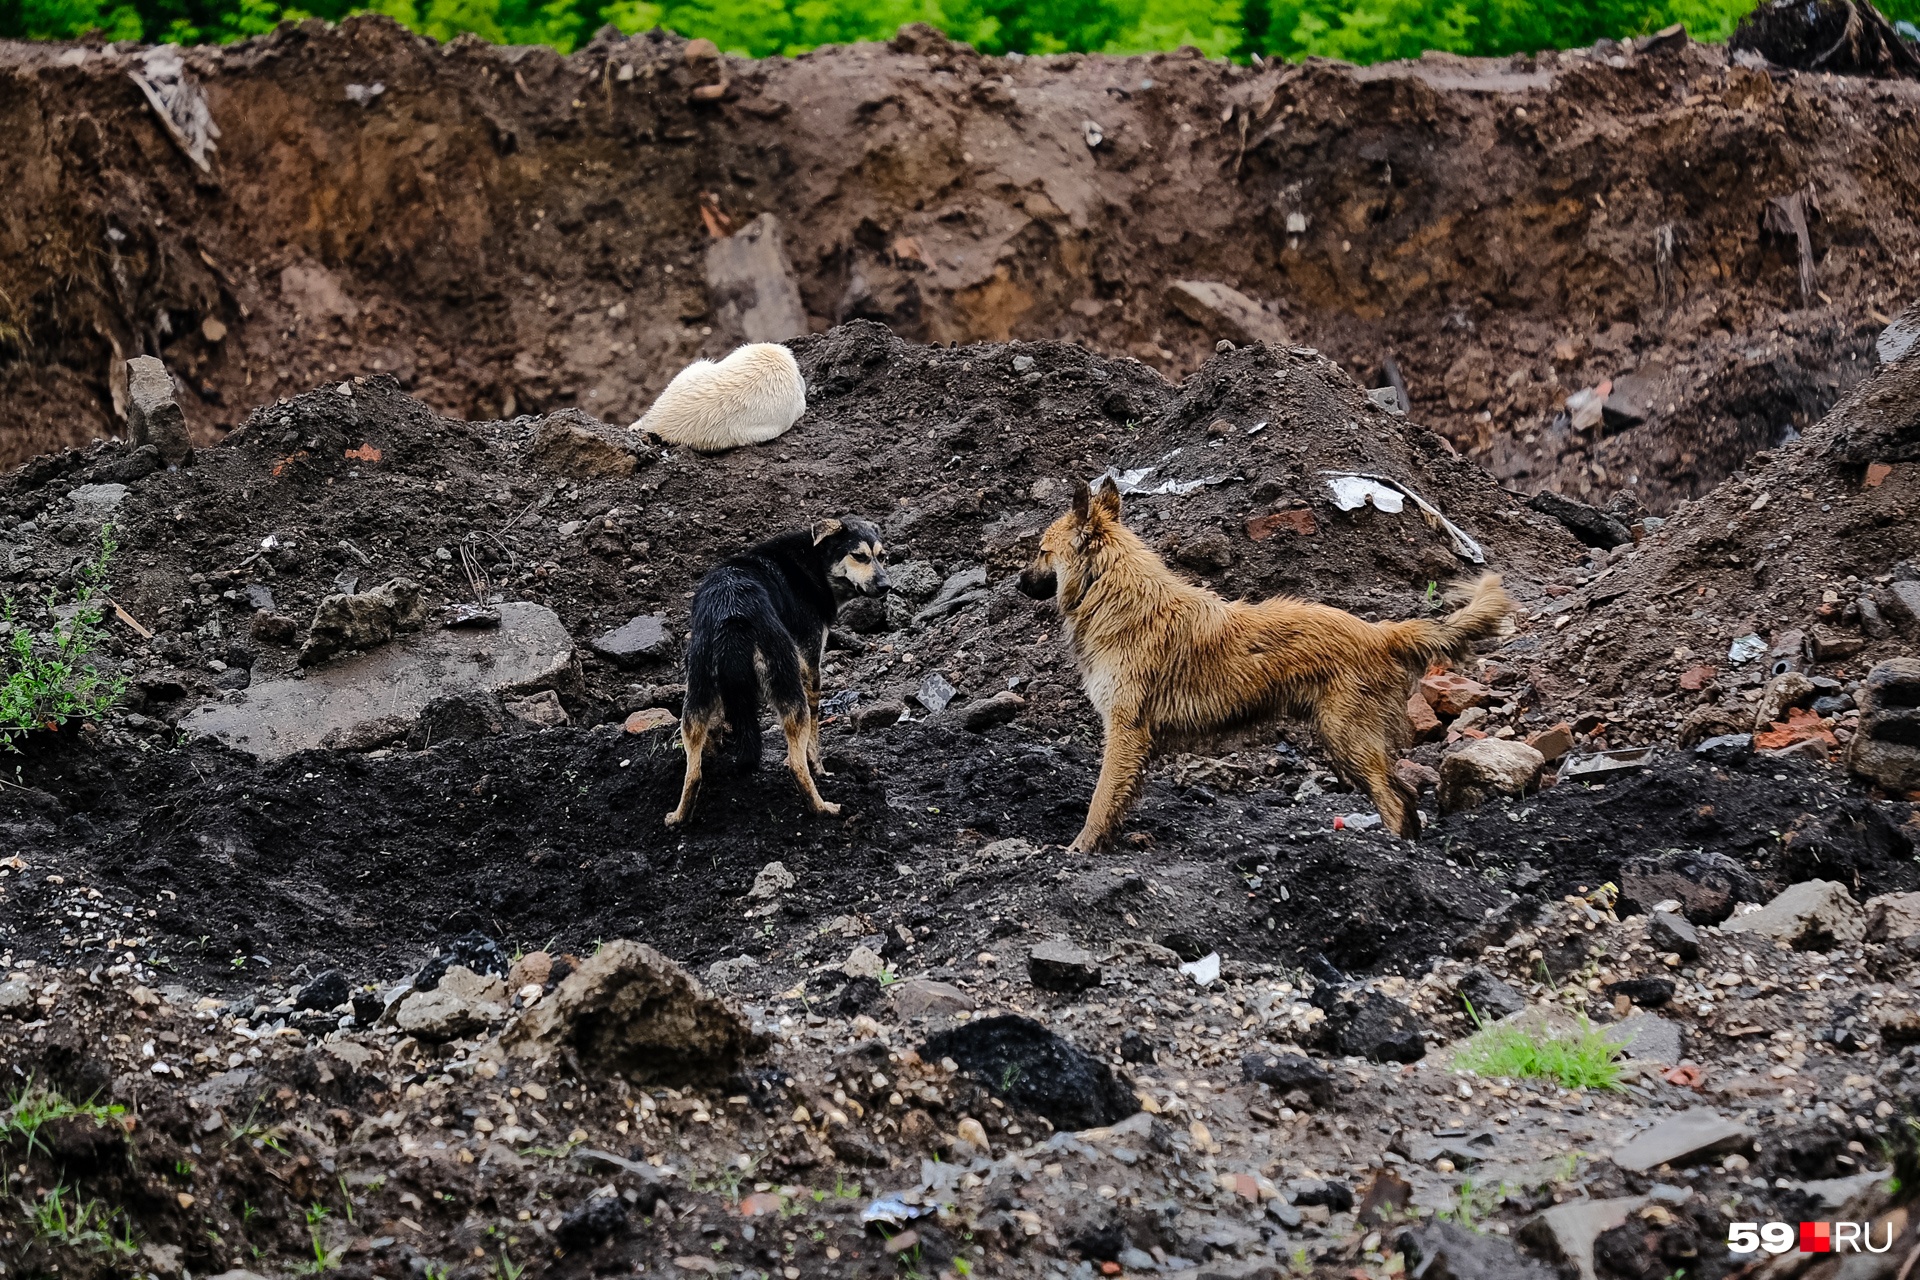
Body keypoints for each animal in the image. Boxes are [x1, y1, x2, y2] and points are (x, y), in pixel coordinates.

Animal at [668, 514, 890, 825]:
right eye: (859, 556)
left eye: (882, 557)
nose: (886, 586)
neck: (814, 561)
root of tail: (731, 612)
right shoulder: (810, 666)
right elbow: (812, 738)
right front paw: (820, 768)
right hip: (786, 682)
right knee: (797, 766)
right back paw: (822, 807)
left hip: (696, 689)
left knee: (693, 772)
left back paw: (679, 817)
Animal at [1021, 479, 1512, 852]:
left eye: (1042, 552)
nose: (1017, 582)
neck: (1108, 589)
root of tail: (1379, 632)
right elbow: (1116, 800)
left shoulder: (1125, 730)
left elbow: (1100, 799)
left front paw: (1080, 849)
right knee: (1404, 797)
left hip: (1348, 736)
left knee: (1394, 800)